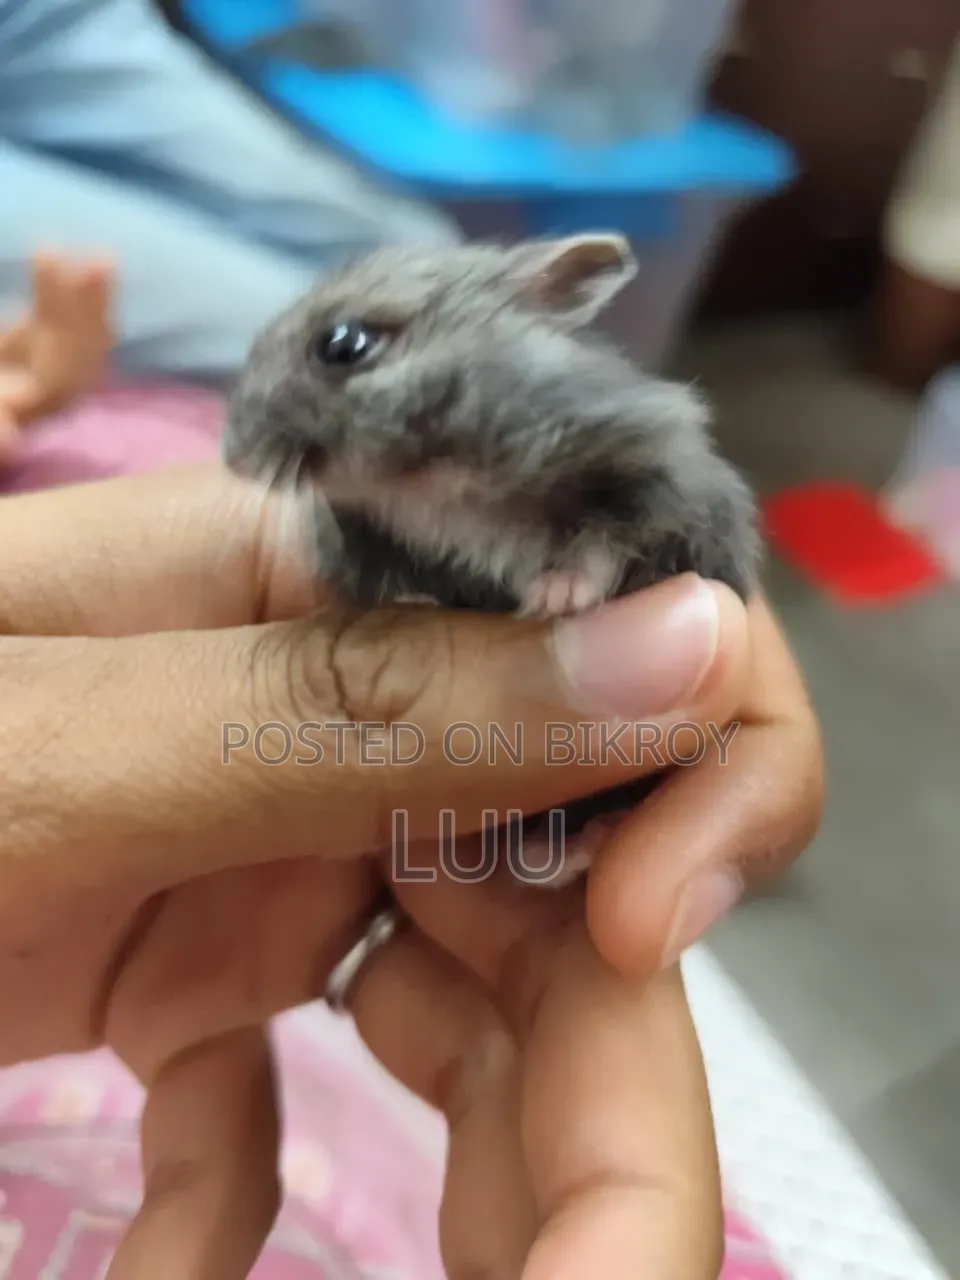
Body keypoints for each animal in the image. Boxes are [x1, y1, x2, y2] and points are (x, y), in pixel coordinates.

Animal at [223, 233, 761, 886]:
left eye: (343, 344)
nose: (233, 458)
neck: (429, 479)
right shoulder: (362, 536)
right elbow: (386, 579)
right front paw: (415, 604)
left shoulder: (642, 486)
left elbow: (597, 548)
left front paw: (552, 601)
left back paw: (570, 852)